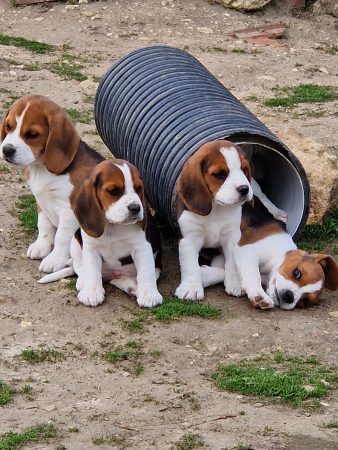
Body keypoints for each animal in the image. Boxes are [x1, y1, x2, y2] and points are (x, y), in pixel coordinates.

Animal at [0, 93, 103, 272]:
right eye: (8, 127)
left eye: (32, 134)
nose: (7, 150)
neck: (41, 168)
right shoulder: (41, 203)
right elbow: (44, 227)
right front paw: (41, 246)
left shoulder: (69, 212)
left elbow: (62, 237)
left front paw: (55, 259)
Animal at [40, 159, 163, 310]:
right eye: (113, 191)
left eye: (138, 188)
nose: (135, 208)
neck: (113, 225)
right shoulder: (90, 248)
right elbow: (92, 270)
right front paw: (92, 292)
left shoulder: (142, 247)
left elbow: (146, 272)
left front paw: (149, 295)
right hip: (75, 241)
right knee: (79, 266)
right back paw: (83, 282)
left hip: (155, 267)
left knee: (123, 279)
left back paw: (133, 287)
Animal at [176, 140, 252, 302]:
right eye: (219, 174)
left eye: (244, 169)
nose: (244, 189)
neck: (216, 209)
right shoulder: (189, 239)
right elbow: (190, 265)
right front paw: (191, 288)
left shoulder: (232, 237)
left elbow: (232, 262)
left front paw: (235, 283)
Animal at [202, 197, 336, 310]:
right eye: (297, 273)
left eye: (304, 301)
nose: (289, 296)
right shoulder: (246, 250)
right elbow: (254, 275)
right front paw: (258, 295)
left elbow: (223, 270)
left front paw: (206, 275)